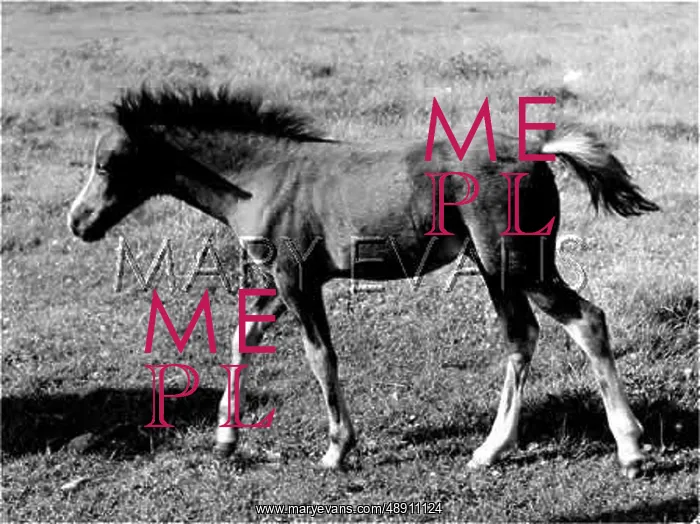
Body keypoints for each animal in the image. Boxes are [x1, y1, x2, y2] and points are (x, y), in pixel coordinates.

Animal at [67, 85, 659, 478]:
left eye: (108, 163)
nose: (78, 222)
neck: (262, 177)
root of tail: (539, 153)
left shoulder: (296, 280)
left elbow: (319, 357)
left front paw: (336, 449)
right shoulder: (277, 282)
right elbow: (241, 341)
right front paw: (226, 439)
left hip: (517, 263)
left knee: (586, 320)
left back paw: (630, 450)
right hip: (495, 268)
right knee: (522, 337)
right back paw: (490, 450)